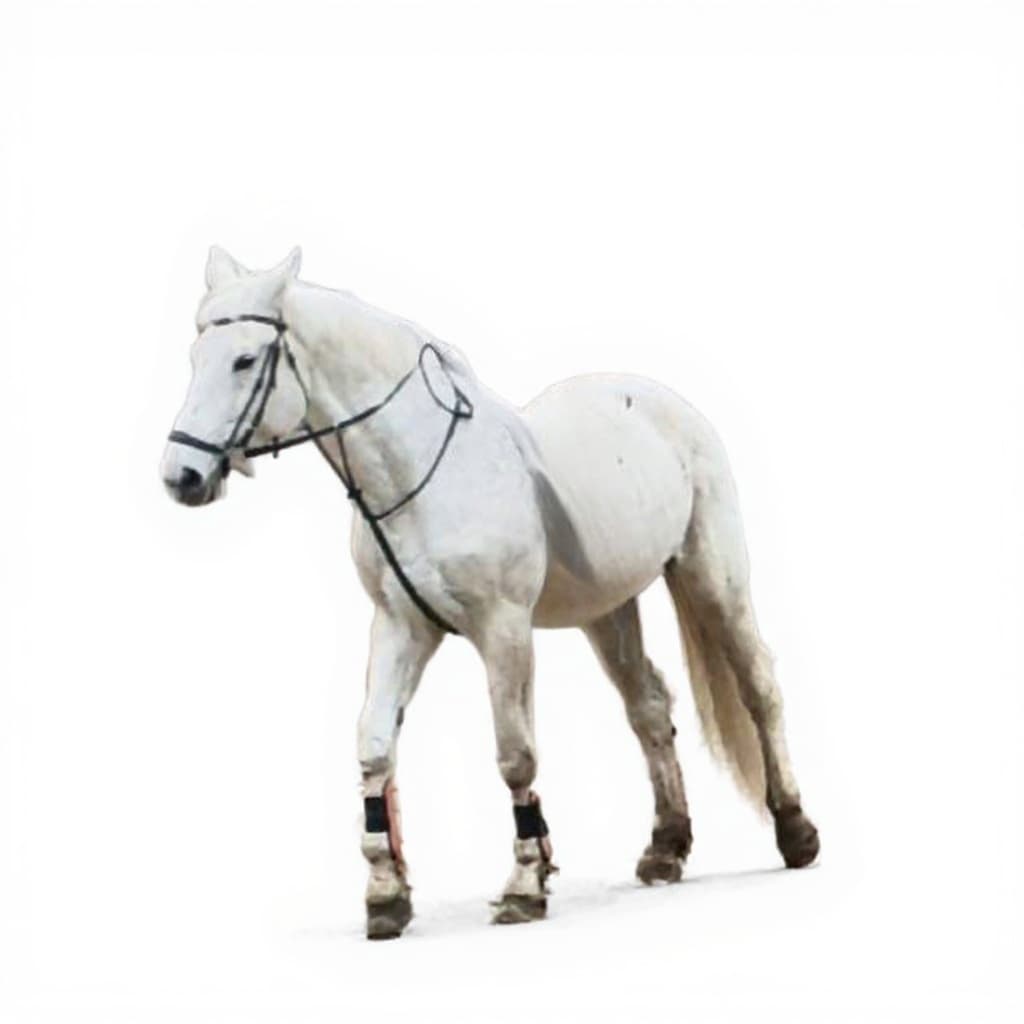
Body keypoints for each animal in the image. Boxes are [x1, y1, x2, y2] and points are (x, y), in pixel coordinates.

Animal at [160, 246, 820, 939]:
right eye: (195, 357)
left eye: (244, 359)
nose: (183, 476)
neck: (425, 473)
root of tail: (668, 405)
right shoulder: (400, 626)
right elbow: (374, 746)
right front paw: (386, 895)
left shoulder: (503, 629)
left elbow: (515, 756)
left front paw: (525, 885)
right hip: (608, 612)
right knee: (648, 708)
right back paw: (665, 847)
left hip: (712, 579)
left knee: (758, 686)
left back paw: (795, 831)